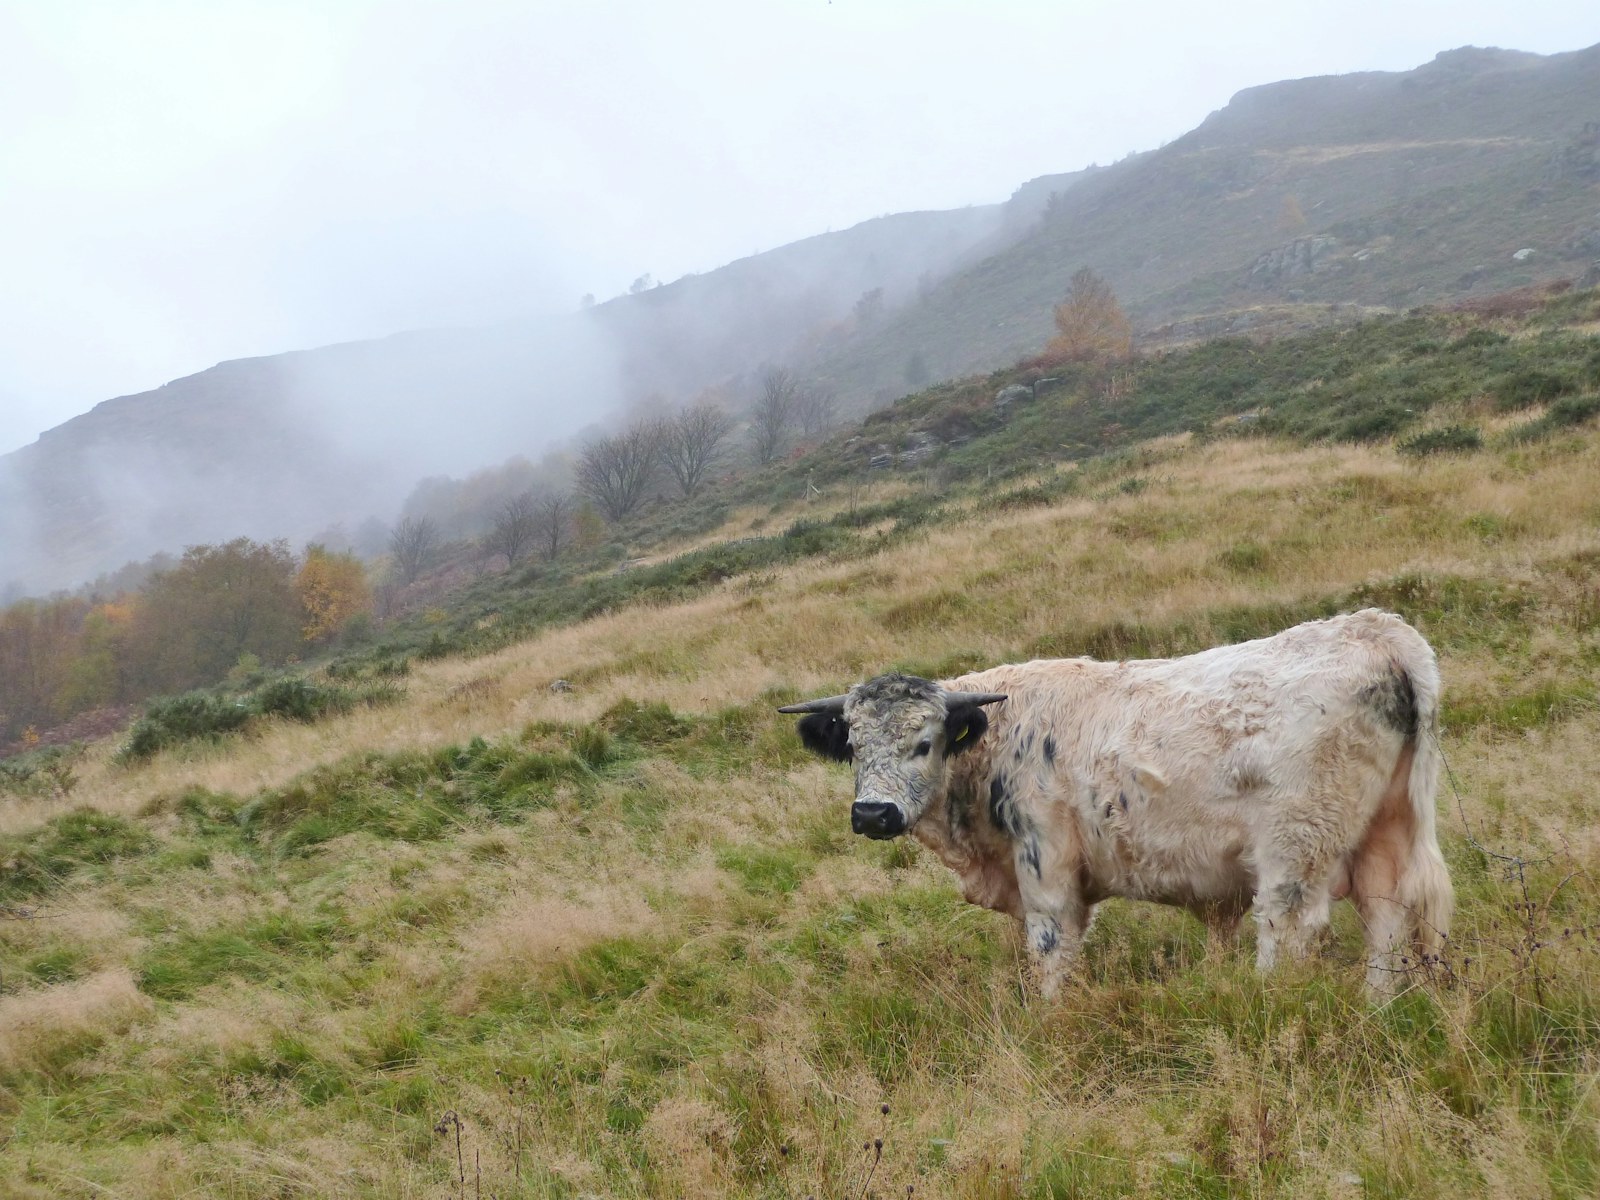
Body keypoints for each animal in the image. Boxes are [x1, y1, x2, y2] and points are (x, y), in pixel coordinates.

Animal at [780, 611, 1459, 998]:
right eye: (853, 744)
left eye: (924, 743)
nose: (873, 814)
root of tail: (1374, 629)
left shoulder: (1046, 865)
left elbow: (1052, 948)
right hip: (1385, 832)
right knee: (1388, 919)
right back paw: (1377, 1008)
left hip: (1297, 846)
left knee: (1288, 929)